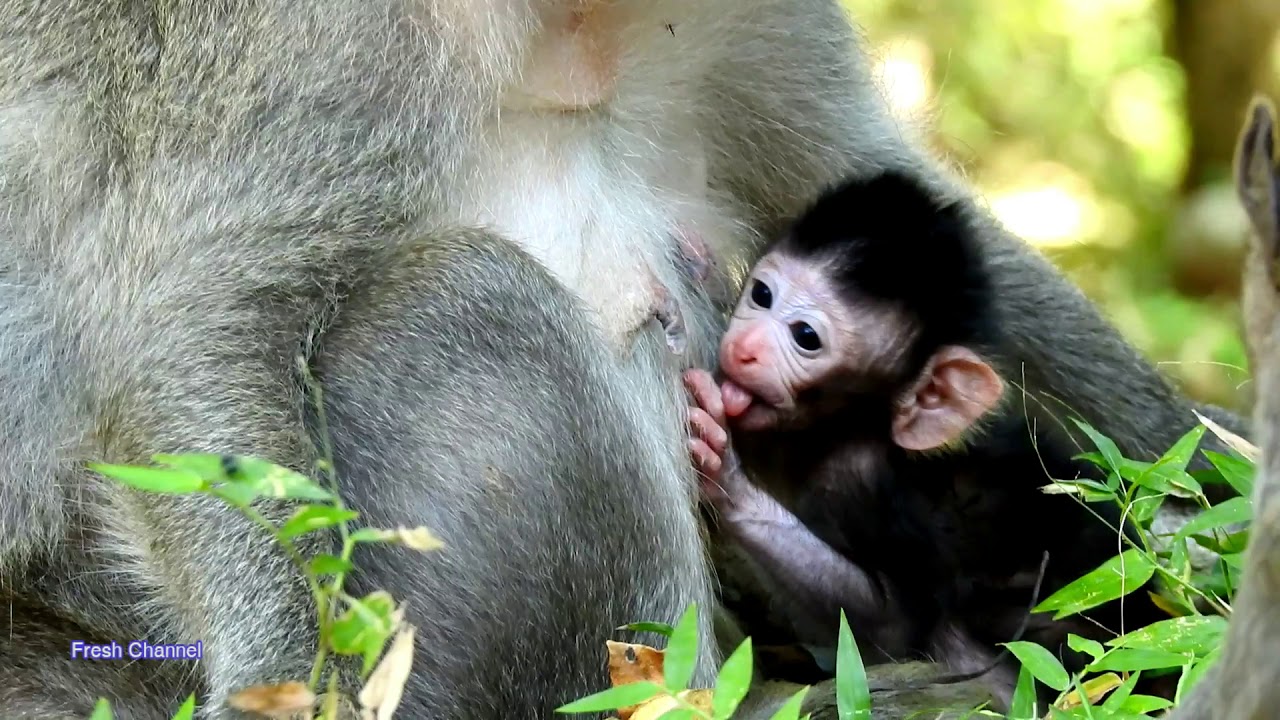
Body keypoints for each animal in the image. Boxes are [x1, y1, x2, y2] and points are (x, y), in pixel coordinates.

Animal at [684, 170, 1166, 707]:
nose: (745, 348)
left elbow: (890, 626)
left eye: (806, 337)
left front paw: (728, 480)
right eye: (762, 295)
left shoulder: (862, 481)